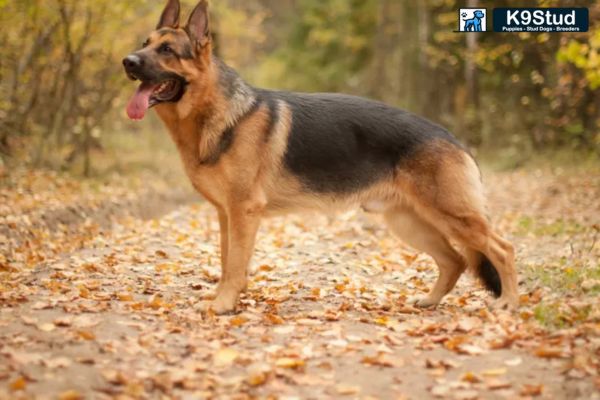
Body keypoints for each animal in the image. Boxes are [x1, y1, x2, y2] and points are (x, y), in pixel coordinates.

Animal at [123, 0, 520, 314]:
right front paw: (226, 298)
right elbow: (226, 262)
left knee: (503, 249)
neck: (217, 112)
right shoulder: (226, 215)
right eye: (146, 45)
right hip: (411, 223)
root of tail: (452, 138)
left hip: (453, 217)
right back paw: (430, 301)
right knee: (455, 260)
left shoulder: (243, 212)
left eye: (168, 51)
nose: (127, 62)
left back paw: (508, 303)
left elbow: (235, 264)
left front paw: (223, 305)